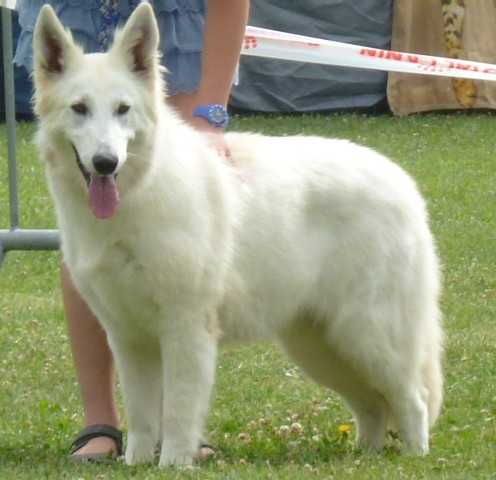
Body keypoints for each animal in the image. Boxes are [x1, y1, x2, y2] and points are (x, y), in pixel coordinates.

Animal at [33, 2, 444, 468]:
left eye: (122, 109)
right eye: (79, 108)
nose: (106, 163)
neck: (140, 192)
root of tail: (401, 182)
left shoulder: (186, 328)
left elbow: (177, 412)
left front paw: (173, 466)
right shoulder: (128, 336)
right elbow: (141, 417)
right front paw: (135, 465)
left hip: (368, 333)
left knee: (413, 399)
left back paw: (414, 457)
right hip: (321, 345)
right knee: (371, 404)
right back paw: (364, 457)